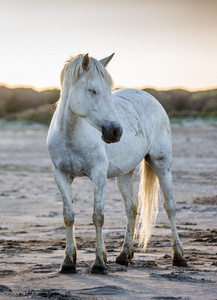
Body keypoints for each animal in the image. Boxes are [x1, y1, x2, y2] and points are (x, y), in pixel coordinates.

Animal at [46, 54, 187, 274]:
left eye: (109, 91)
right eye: (92, 90)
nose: (116, 132)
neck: (70, 135)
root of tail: (150, 97)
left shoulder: (98, 175)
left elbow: (98, 216)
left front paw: (98, 263)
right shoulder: (61, 176)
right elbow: (68, 216)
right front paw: (68, 262)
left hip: (162, 165)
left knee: (170, 206)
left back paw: (179, 257)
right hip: (125, 173)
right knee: (132, 207)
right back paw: (124, 255)